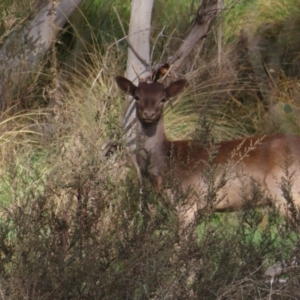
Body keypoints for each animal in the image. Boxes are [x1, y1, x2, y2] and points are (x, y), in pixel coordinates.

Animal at [115, 76, 300, 231]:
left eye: (163, 99)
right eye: (137, 97)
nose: (149, 114)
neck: (164, 165)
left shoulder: (190, 204)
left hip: (287, 193)